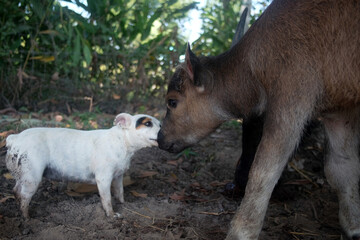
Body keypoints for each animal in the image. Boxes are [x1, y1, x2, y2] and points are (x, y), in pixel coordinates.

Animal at [5, 113, 160, 218]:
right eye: (148, 124)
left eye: (159, 124)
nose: (162, 129)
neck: (123, 142)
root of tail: (14, 138)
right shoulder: (103, 178)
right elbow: (107, 198)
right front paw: (112, 216)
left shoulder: (119, 175)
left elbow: (120, 191)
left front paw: (124, 204)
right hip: (32, 175)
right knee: (25, 197)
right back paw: (28, 218)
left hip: (22, 174)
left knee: (16, 190)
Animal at [159, 0, 360, 239]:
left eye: (172, 102)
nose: (160, 138)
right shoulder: (339, 113)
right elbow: (342, 168)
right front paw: (354, 226)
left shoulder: (292, 100)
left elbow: (263, 170)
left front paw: (241, 231)